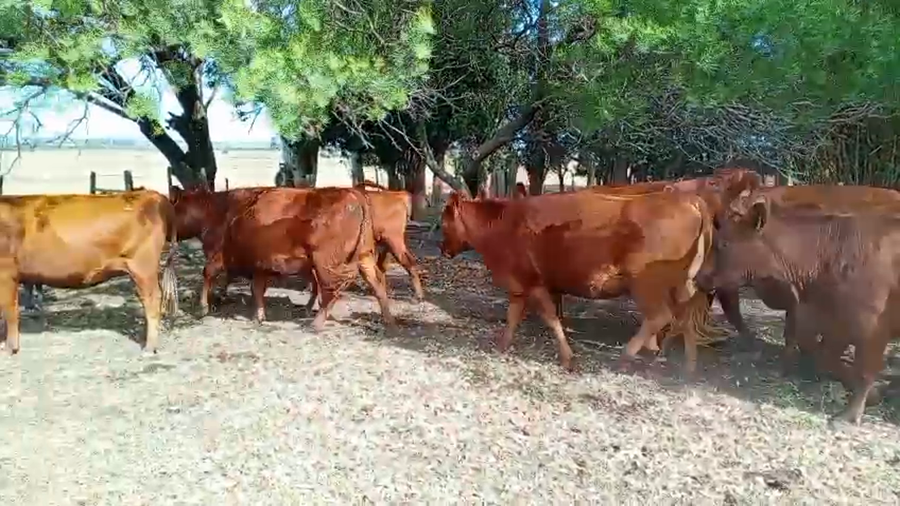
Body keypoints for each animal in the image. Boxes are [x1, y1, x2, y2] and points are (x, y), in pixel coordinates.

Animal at [0, 190, 179, 354]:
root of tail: (152, 195)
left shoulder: (6, 273)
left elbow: (9, 310)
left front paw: (9, 348)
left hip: (142, 267)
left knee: (152, 301)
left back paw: (149, 347)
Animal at [199, 186, 395, 331]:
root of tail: (354, 195)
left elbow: (210, 271)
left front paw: (203, 307)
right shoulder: (260, 266)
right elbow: (257, 289)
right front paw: (259, 316)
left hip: (325, 263)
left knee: (333, 288)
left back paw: (315, 324)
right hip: (364, 256)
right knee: (376, 282)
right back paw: (388, 319)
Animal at [440, 190, 715, 373]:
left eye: (443, 223)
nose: (443, 249)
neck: (502, 223)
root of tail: (687, 198)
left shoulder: (534, 282)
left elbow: (550, 317)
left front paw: (567, 357)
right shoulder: (521, 284)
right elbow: (513, 315)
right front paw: (503, 344)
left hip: (646, 282)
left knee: (660, 316)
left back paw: (626, 356)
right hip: (680, 283)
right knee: (684, 317)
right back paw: (687, 366)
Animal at [695, 192, 900, 425]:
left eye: (724, 243)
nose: (698, 276)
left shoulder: (872, 327)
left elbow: (864, 370)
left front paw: (850, 415)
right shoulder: (830, 320)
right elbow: (824, 356)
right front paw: (875, 394)